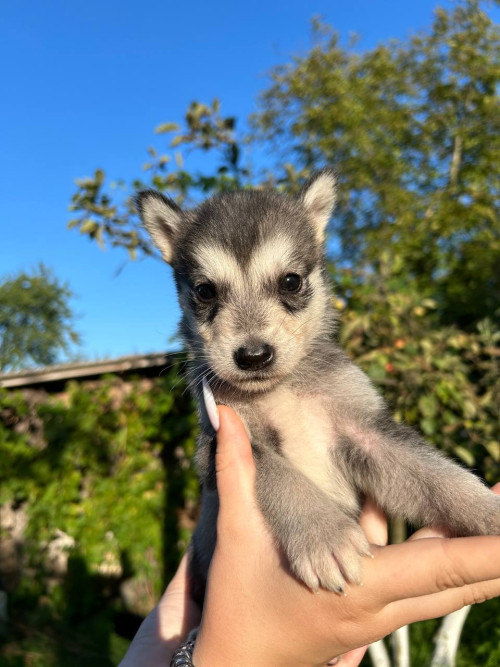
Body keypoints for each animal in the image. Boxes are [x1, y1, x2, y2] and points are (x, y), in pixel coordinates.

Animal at [136, 170, 500, 604]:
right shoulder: (220, 441)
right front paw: (324, 536)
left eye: (291, 282)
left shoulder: (366, 430)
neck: (281, 390)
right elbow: (282, 478)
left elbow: (438, 475)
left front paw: (489, 512)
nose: (253, 356)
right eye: (205, 291)